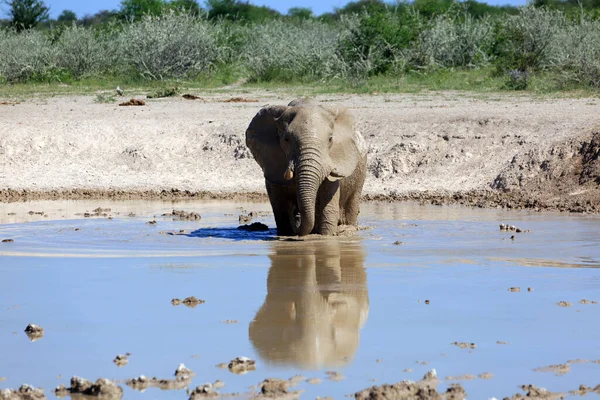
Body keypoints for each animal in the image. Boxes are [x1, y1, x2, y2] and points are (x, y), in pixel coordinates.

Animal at [246, 98, 368, 236]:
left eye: (330, 139)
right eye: (286, 139)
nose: (296, 215)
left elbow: (328, 208)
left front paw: (327, 236)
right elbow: (281, 210)